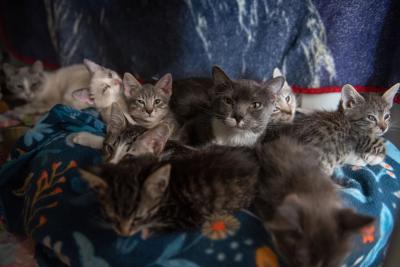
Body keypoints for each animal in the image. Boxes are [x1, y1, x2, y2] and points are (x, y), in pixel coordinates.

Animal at [79, 146, 258, 238]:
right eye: (113, 217)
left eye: (138, 218)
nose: (124, 234)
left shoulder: (188, 217)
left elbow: (156, 226)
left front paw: (145, 231)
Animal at [260, 84, 398, 176]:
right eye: (371, 117)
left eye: (387, 116)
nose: (384, 127)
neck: (344, 118)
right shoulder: (357, 135)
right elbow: (376, 141)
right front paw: (375, 157)